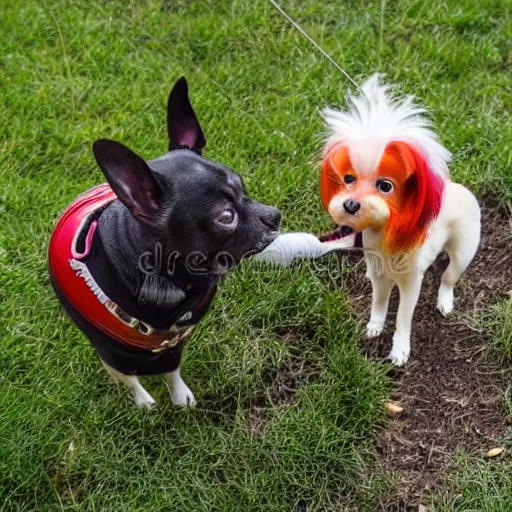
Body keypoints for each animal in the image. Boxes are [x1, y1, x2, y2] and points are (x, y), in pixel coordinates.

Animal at [48, 79, 280, 408]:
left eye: (244, 189)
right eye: (226, 216)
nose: (274, 216)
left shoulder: (174, 344)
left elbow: (172, 370)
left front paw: (179, 395)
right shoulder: (111, 354)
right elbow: (129, 379)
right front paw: (144, 402)